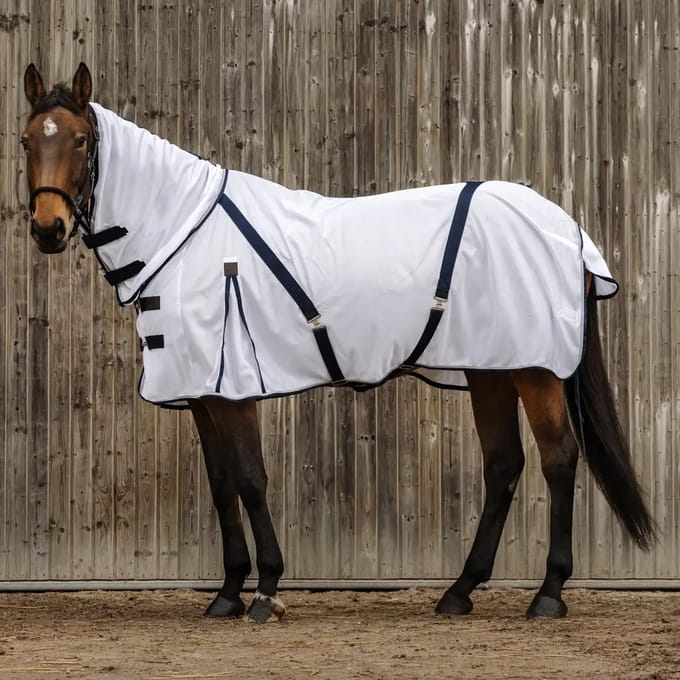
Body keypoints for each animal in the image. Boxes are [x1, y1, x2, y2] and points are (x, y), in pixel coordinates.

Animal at [21, 62, 654, 622]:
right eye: (27, 140)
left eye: (80, 139)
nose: (48, 228)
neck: (186, 234)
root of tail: (566, 228)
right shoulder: (202, 391)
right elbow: (222, 484)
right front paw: (226, 594)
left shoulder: (234, 388)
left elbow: (250, 478)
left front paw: (266, 592)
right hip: (490, 368)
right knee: (503, 464)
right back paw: (459, 592)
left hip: (536, 370)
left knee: (558, 459)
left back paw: (547, 594)